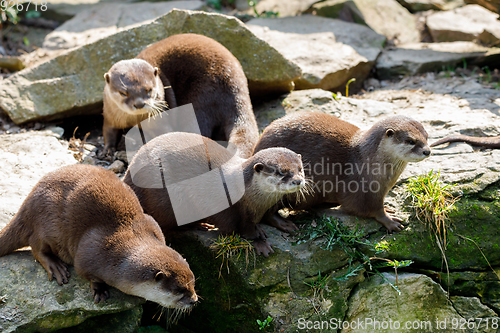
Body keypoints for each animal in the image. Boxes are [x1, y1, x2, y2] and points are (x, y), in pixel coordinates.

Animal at [101, 33, 260, 158]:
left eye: (149, 90)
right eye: (123, 92)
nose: (139, 104)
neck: (133, 120)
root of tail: (235, 86)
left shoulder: (162, 119)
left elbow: (166, 132)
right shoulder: (109, 115)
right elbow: (108, 131)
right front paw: (108, 150)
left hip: (201, 96)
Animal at [123, 131, 306, 255]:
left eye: (300, 168)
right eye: (281, 172)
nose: (298, 181)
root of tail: (129, 176)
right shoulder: (227, 209)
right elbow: (238, 229)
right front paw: (258, 240)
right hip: (165, 200)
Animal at [252, 111, 432, 231]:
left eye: (426, 136)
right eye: (411, 141)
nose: (427, 151)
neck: (369, 160)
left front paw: (387, 209)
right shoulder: (363, 189)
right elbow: (370, 209)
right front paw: (389, 220)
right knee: (267, 211)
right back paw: (284, 224)